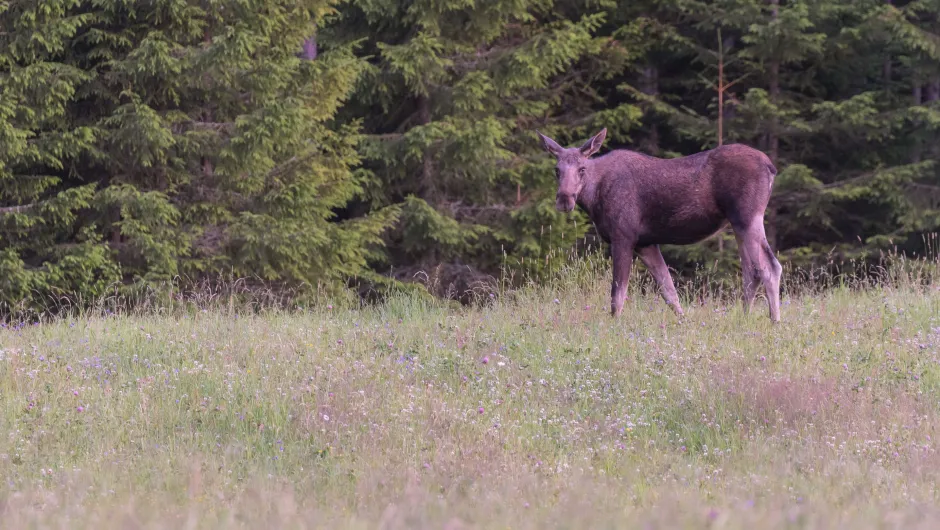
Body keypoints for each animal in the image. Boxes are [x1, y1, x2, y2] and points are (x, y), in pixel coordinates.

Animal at [536, 127, 784, 322]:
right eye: (557, 170)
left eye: (582, 169)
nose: (564, 199)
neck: (593, 198)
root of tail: (771, 167)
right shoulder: (645, 243)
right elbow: (669, 290)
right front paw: (684, 322)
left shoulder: (623, 236)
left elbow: (617, 294)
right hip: (738, 223)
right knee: (751, 271)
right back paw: (744, 319)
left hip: (748, 217)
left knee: (770, 267)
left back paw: (775, 322)